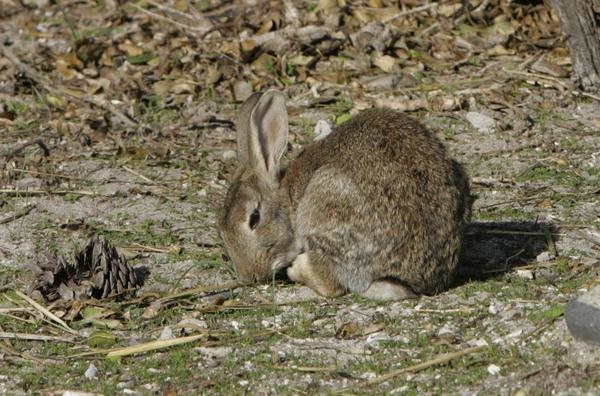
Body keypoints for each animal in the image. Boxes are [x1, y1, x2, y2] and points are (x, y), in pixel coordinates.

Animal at [218, 90, 472, 300]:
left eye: (254, 219)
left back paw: (298, 269)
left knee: (331, 283)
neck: (287, 199)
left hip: (324, 206)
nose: (248, 275)